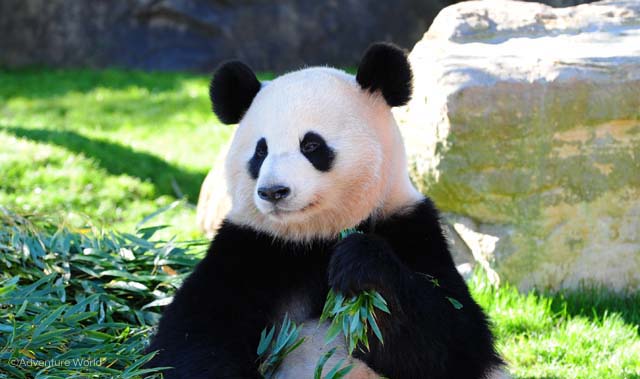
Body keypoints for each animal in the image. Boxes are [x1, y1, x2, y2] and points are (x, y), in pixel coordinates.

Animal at [148, 42, 508, 379]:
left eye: (311, 145)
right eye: (260, 151)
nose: (273, 191)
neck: (313, 239)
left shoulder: (411, 227)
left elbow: (456, 339)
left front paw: (359, 264)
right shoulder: (248, 249)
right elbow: (190, 337)